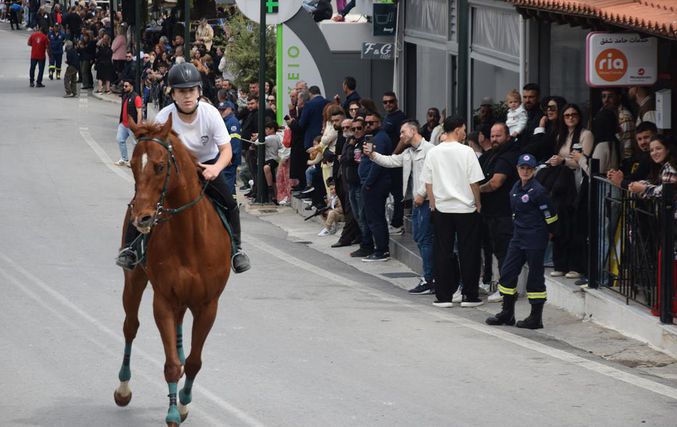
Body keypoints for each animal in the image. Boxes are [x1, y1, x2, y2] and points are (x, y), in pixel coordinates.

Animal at [113, 115, 232, 426]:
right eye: (132, 164)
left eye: (159, 166)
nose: (142, 217)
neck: (189, 237)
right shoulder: (164, 300)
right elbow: (171, 364)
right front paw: (173, 411)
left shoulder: (208, 304)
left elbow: (193, 361)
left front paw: (185, 402)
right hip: (135, 280)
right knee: (130, 327)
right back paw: (123, 389)